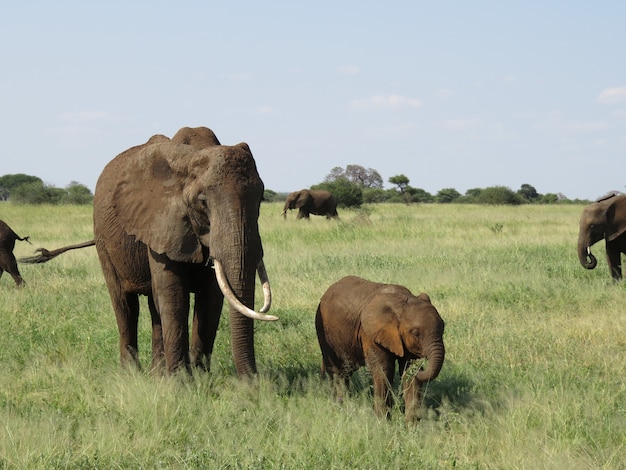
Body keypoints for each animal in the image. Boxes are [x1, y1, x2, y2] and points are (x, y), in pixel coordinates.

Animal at [22, 126, 276, 376]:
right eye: (202, 202)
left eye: (260, 198)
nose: (252, 381)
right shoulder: (158, 224)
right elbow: (173, 294)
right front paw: (181, 382)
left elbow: (212, 297)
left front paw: (201, 379)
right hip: (103, 240)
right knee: (125, 305)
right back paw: (132, 374)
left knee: (154, 307)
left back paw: (157, 374)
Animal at [316, 276, 444, 422]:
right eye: (416, 333)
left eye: (443, 328)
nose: (422, 366)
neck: (401, 305)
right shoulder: (370, 334)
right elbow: (384, 370)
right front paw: (383, 423)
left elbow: (407, 370)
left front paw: (411, 426)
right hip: (324, 331)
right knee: (337, 371)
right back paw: (339, 408)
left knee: (345, 371)